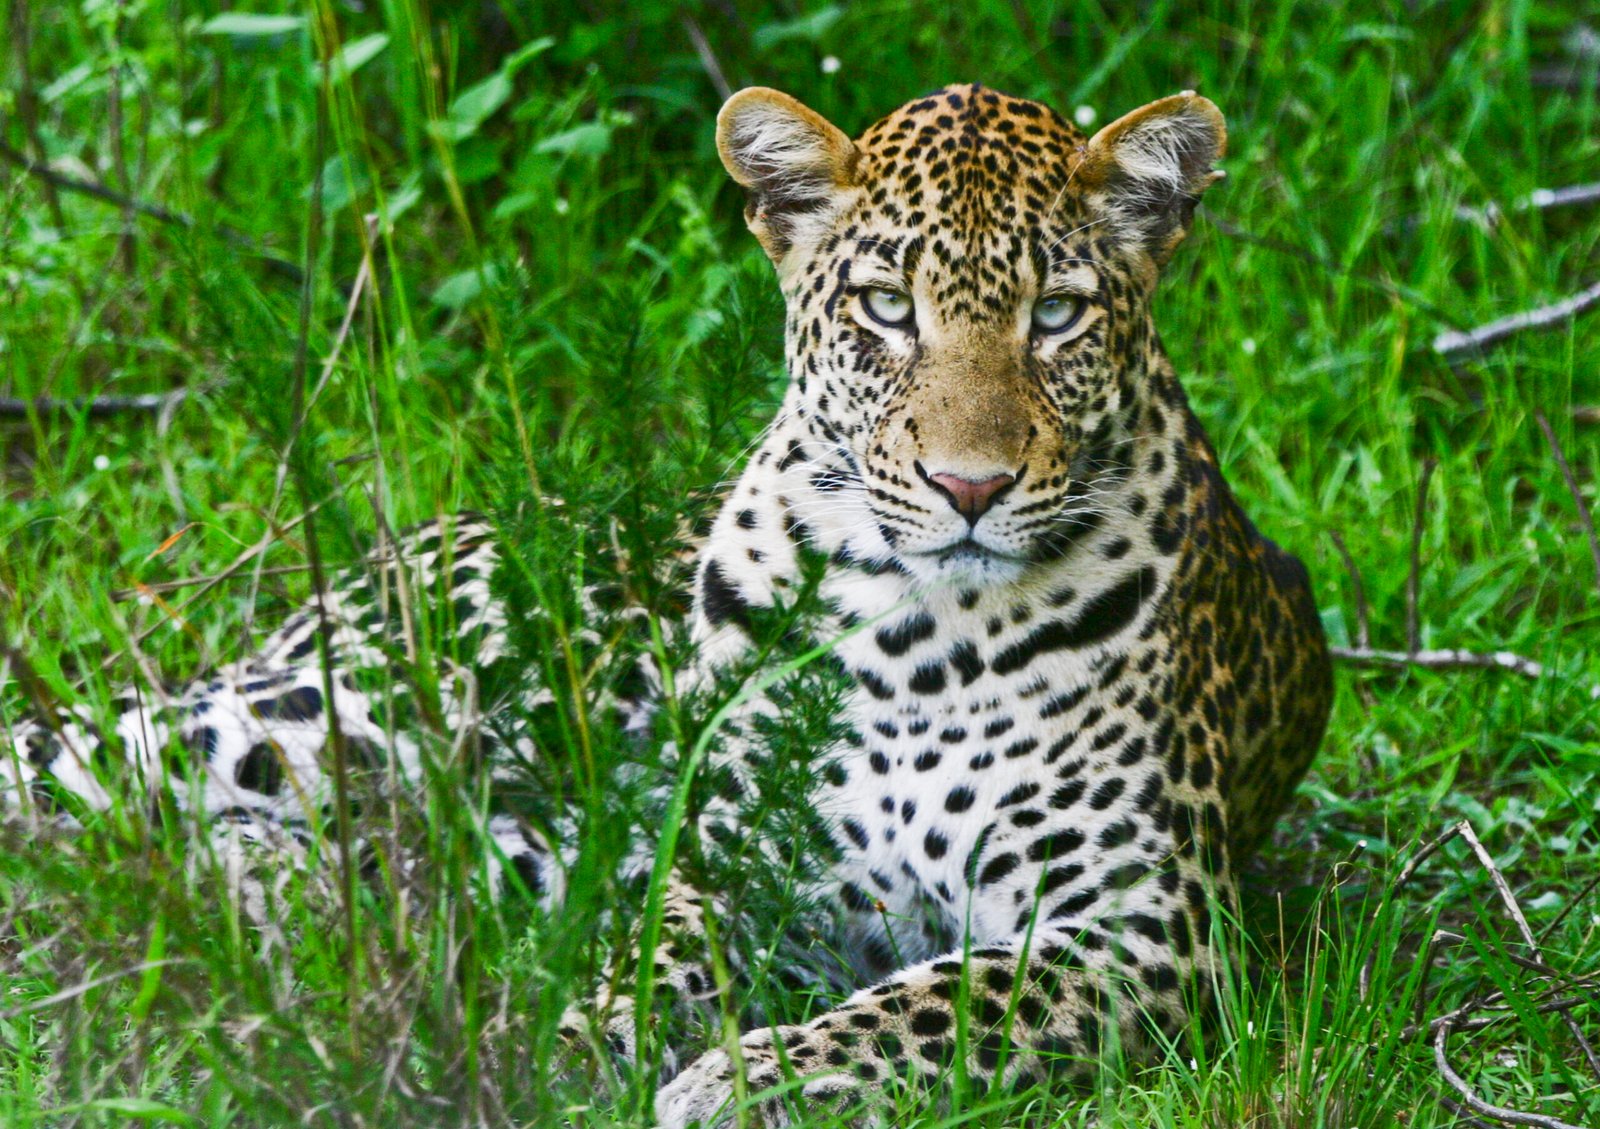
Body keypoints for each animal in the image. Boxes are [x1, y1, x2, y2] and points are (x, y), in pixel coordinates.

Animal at [0, 85, 1331, 1125]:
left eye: (1055, 315)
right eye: (884, 308)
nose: (969, 486)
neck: (925, 632)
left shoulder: (1142, 927)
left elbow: (934, 1000)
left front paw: (743, 1083)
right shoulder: (728, 862)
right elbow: (655, 956)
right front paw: (569, 1049)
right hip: (359, 706)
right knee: (83, 758)